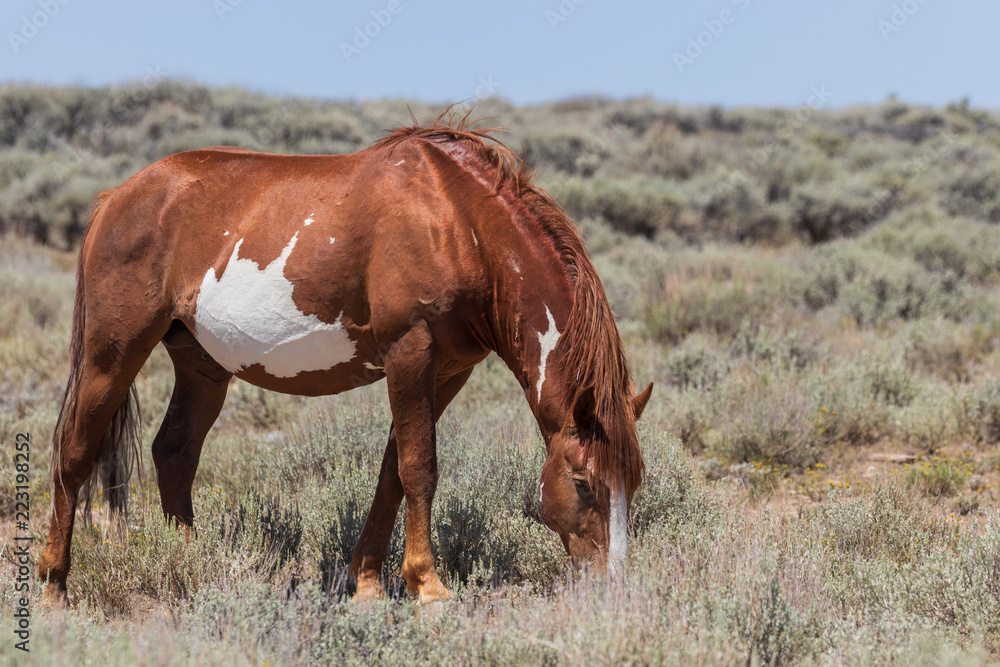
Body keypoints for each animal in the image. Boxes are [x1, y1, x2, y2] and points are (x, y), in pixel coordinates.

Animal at [38, 116, 653, 605]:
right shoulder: (410, 353)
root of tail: (117, 197)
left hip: (201, 366)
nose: (613, 590)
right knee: (74, 452)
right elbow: (420, 468)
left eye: (635, 482)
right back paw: (53, 588)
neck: (458, 223)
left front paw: (369, 584)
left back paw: (188, 566)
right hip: (111, 352)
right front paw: (429, 588)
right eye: (583, 482)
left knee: (174, 453)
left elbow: (392, 472)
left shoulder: (448, 371)